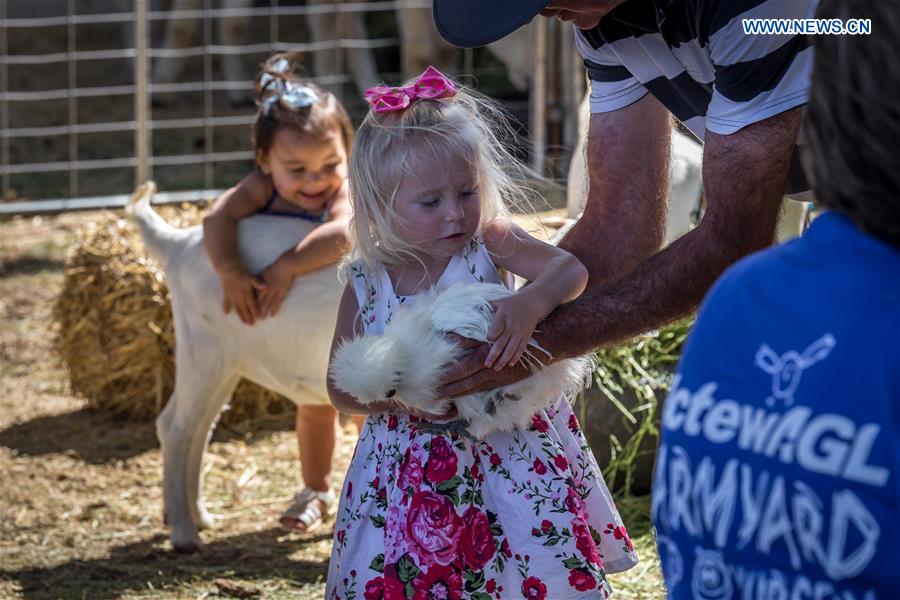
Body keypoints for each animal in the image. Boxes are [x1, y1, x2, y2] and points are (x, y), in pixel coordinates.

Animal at [123, 180, 342, 552]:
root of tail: (178, 243)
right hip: (203, 351)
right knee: (177, 428)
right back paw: (185, 534)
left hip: (225, 363)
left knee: (198, 427)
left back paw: (200, 516)